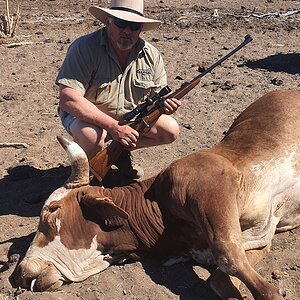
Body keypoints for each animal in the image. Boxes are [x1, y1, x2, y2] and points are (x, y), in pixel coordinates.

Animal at [16, 90, 300, 298]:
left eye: (52, 213)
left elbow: (227, 254)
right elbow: (220, 278)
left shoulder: (211, 189)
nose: (22, 271)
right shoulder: (256, 236)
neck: (157, 206)